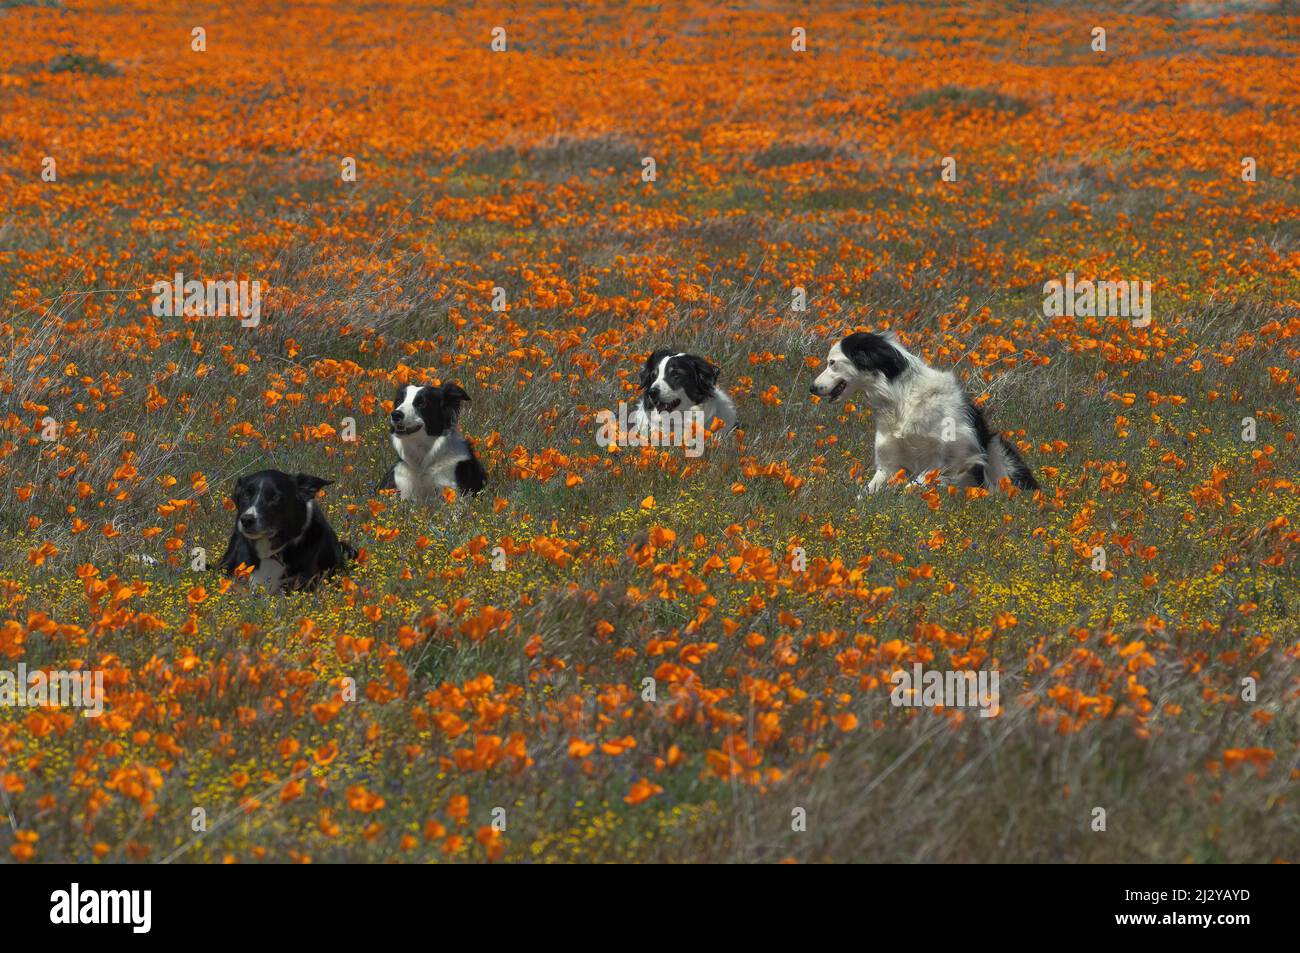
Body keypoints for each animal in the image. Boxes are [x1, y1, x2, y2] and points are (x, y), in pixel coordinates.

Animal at [806, 330, 1040, 494]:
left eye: (832, 363)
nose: (812, 388)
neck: (900, 398)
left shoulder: (957, 455)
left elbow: (914, 485)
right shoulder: (889, 464)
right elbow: (868, 492)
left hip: (998, 450)